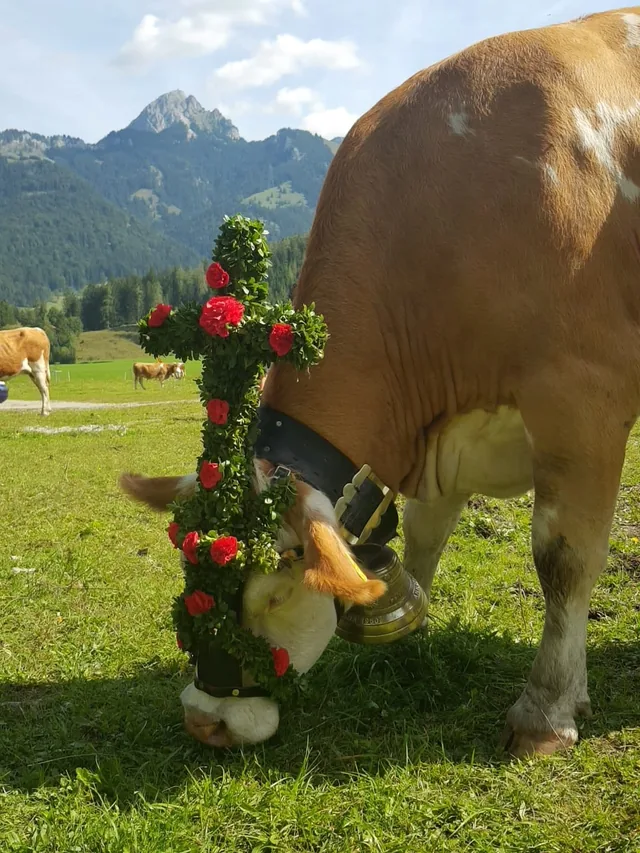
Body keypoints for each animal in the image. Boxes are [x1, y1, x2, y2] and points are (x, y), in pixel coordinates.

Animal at [120, 7, 640, 757]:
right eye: (187, 568)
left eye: (274, 589)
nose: (204, 720)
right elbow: (423, 532)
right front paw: (405, 632)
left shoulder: (580, 398)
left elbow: (564, 560)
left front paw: (545, 710)